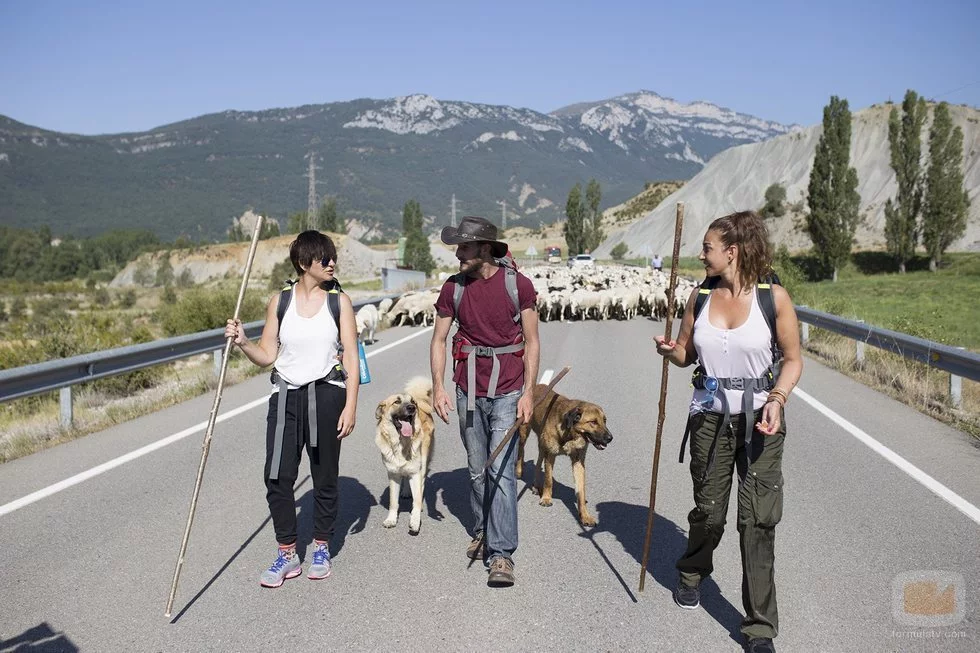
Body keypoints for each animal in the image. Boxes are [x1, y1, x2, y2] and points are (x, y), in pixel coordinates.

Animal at [375, 377, 435, 535]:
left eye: (411, 402)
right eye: (397, 401)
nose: (412, 408)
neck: (401, 444)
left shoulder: (416, 472)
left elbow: (417, 499)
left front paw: (415, 520)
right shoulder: (393, 474)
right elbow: (393, 502)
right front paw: (391, 519)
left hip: (423, 462)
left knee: (421, 483)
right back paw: (407, 491)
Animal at [516, 384, 613, 527]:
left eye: (604, 421)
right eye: (593, 422)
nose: (610, 438)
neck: (570, 433)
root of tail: (537, 385)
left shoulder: (578, 462)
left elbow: (581, 491)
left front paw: (585, 515)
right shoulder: (551, 455)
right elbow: (548, 480)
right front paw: (546, 498)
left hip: (542, 445)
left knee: (538, 462)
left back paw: (536, 486)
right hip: (524, 431)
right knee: (520, 450)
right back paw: (519, 471)